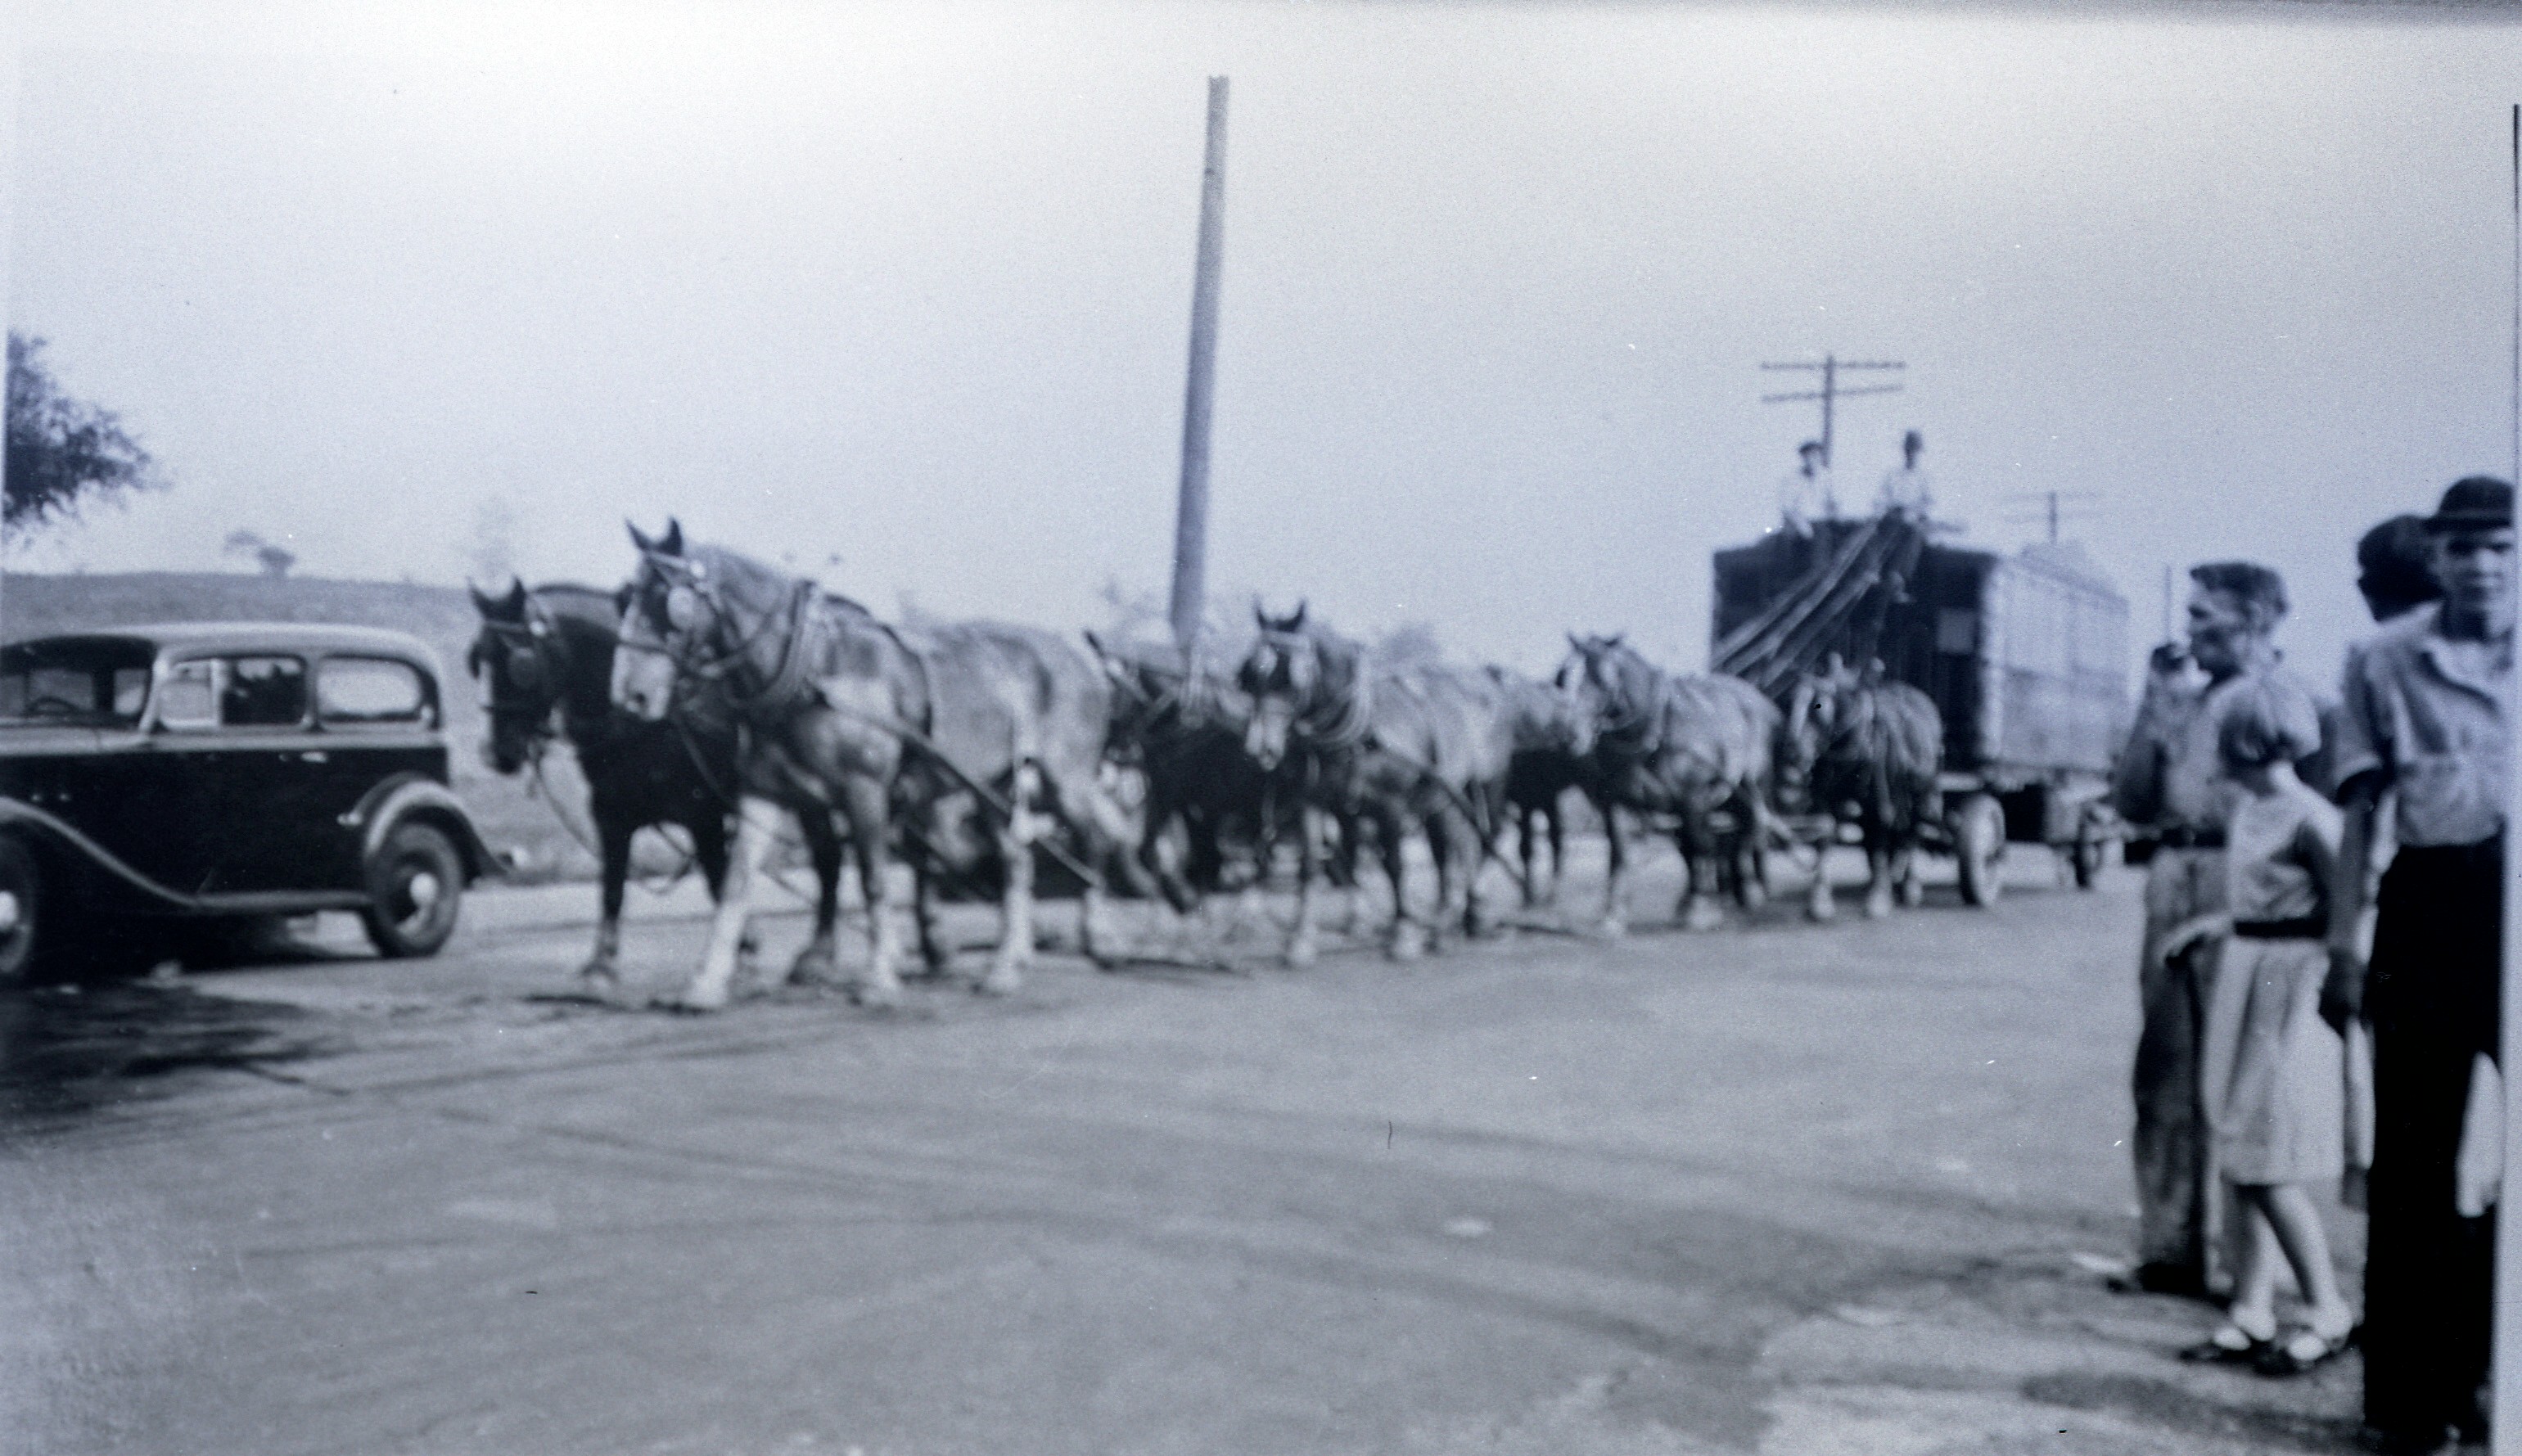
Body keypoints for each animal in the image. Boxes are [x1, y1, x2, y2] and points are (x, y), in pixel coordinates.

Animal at [1230, 600, 1503, 963]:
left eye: (1289, 678)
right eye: (1248, 676)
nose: (1260, 748)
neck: (1358, 733)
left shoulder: (1392, 806)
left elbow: (1396, 866)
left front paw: (1403, 935)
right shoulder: (1310, 802)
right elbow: (1309, 866)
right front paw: (1301, 940)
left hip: (1459, 792)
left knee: (1454, 851)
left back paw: (1445, 925)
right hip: (1430, 800)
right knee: (1442, 854)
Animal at [1553, 633, 1775, 928]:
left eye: (1601, 680)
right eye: (1562, 678)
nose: (1568, 735)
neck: (1654, 730)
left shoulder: (1693, 799)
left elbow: (1697, 844)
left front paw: (1699, 906)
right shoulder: (1617, 803)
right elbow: (1621, 852)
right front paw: (1614, 913)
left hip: (1752, 789)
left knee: (1749, 833)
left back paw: (1751, 891)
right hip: (1726, 798)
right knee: (1729, 837)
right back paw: (1729, 894)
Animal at [1785, 660, 1937, 918]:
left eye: (1818, 707)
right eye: (1790, 701)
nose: (1793, 752)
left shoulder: (1879, 802)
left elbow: (1880, 842)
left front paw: (1878, 897)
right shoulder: (1825, 800)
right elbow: (1825, 839)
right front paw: (1820, 900)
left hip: (1922, 796)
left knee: (1912, 833)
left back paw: (1909, 885)